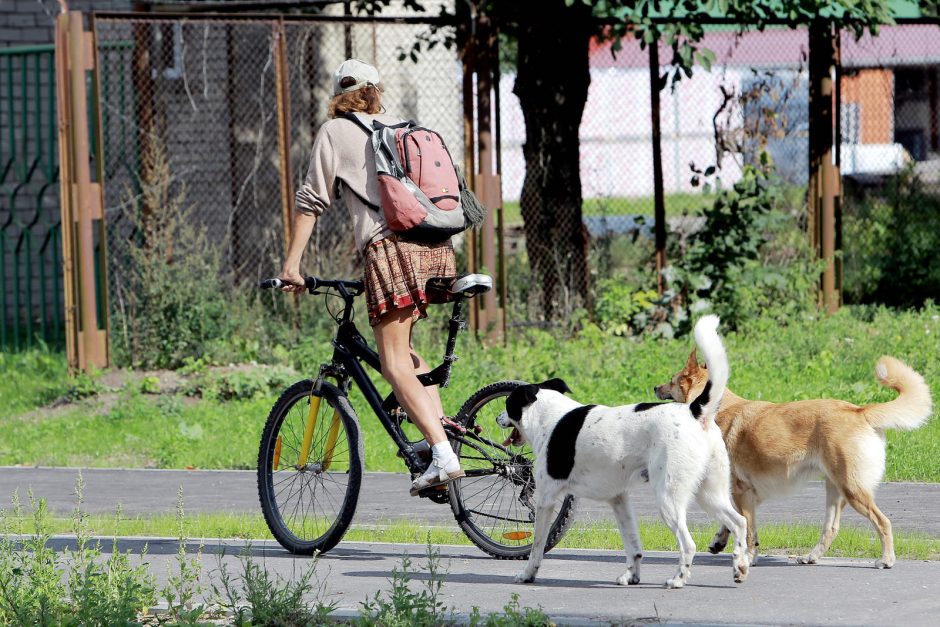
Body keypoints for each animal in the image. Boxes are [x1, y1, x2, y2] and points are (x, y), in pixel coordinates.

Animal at [652, 354, 932, 568]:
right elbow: (732, 522)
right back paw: (811, 557)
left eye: (671, 380)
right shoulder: (742, 493)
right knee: (831, 529)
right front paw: (719, 542)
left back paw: (886, 560)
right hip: (835, 490)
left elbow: (747, 529)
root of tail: (858, 410)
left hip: (852, 490)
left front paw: (748, 557)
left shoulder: (742, 491)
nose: (655, 387)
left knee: (883, 522)